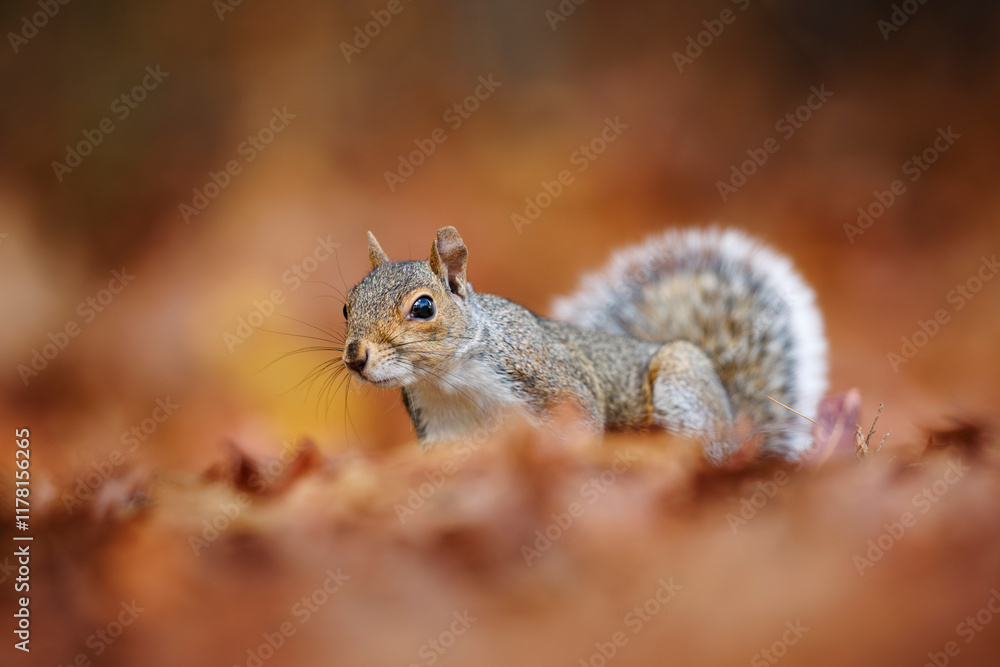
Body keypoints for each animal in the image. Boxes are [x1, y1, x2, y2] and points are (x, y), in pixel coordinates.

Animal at [341, 226, 827, 462]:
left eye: (423, 307)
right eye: (346, 306)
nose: (355, 357)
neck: (448, 382)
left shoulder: (553, 384)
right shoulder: (443, 435)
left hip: (682, 385)